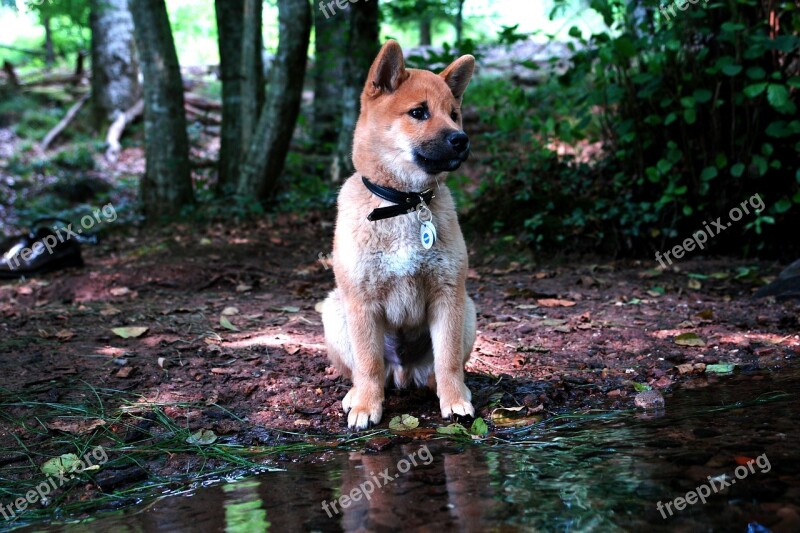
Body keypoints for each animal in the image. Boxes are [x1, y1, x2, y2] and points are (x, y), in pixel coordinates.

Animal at [322, 39, 478, 430]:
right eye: (419, 112)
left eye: (454, 113)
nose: (461, 139)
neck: (404, 204)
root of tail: (405, 373)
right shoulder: (361, 302)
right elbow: (368, 363)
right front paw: (366, 406)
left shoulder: (448, 295)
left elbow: (448, 359)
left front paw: (455, 402)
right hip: (334, 311)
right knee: (365, 371)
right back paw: (356, 395)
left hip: (468, 308)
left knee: (439, 369)